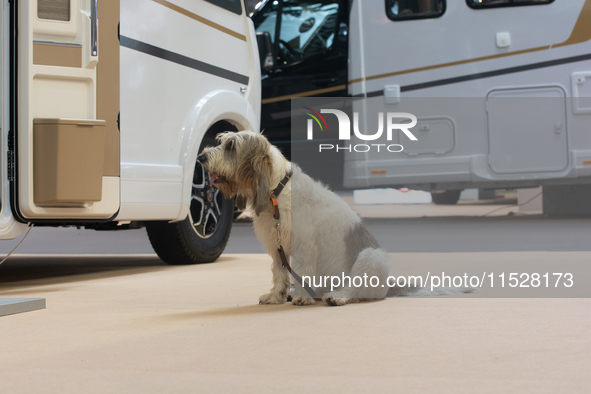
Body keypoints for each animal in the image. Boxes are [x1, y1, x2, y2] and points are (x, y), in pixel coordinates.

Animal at [201, 131, 470, 306]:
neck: (277, 190)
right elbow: (279, 274)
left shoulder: (303, 246)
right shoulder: (276, 246)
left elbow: (302, 269)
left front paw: (302, 297)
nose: (201, 157)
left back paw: (337, 295)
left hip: (371, 257)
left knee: (359, 290)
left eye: (231, 146)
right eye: (223, 142)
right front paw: (276, 296)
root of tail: (390, 285)